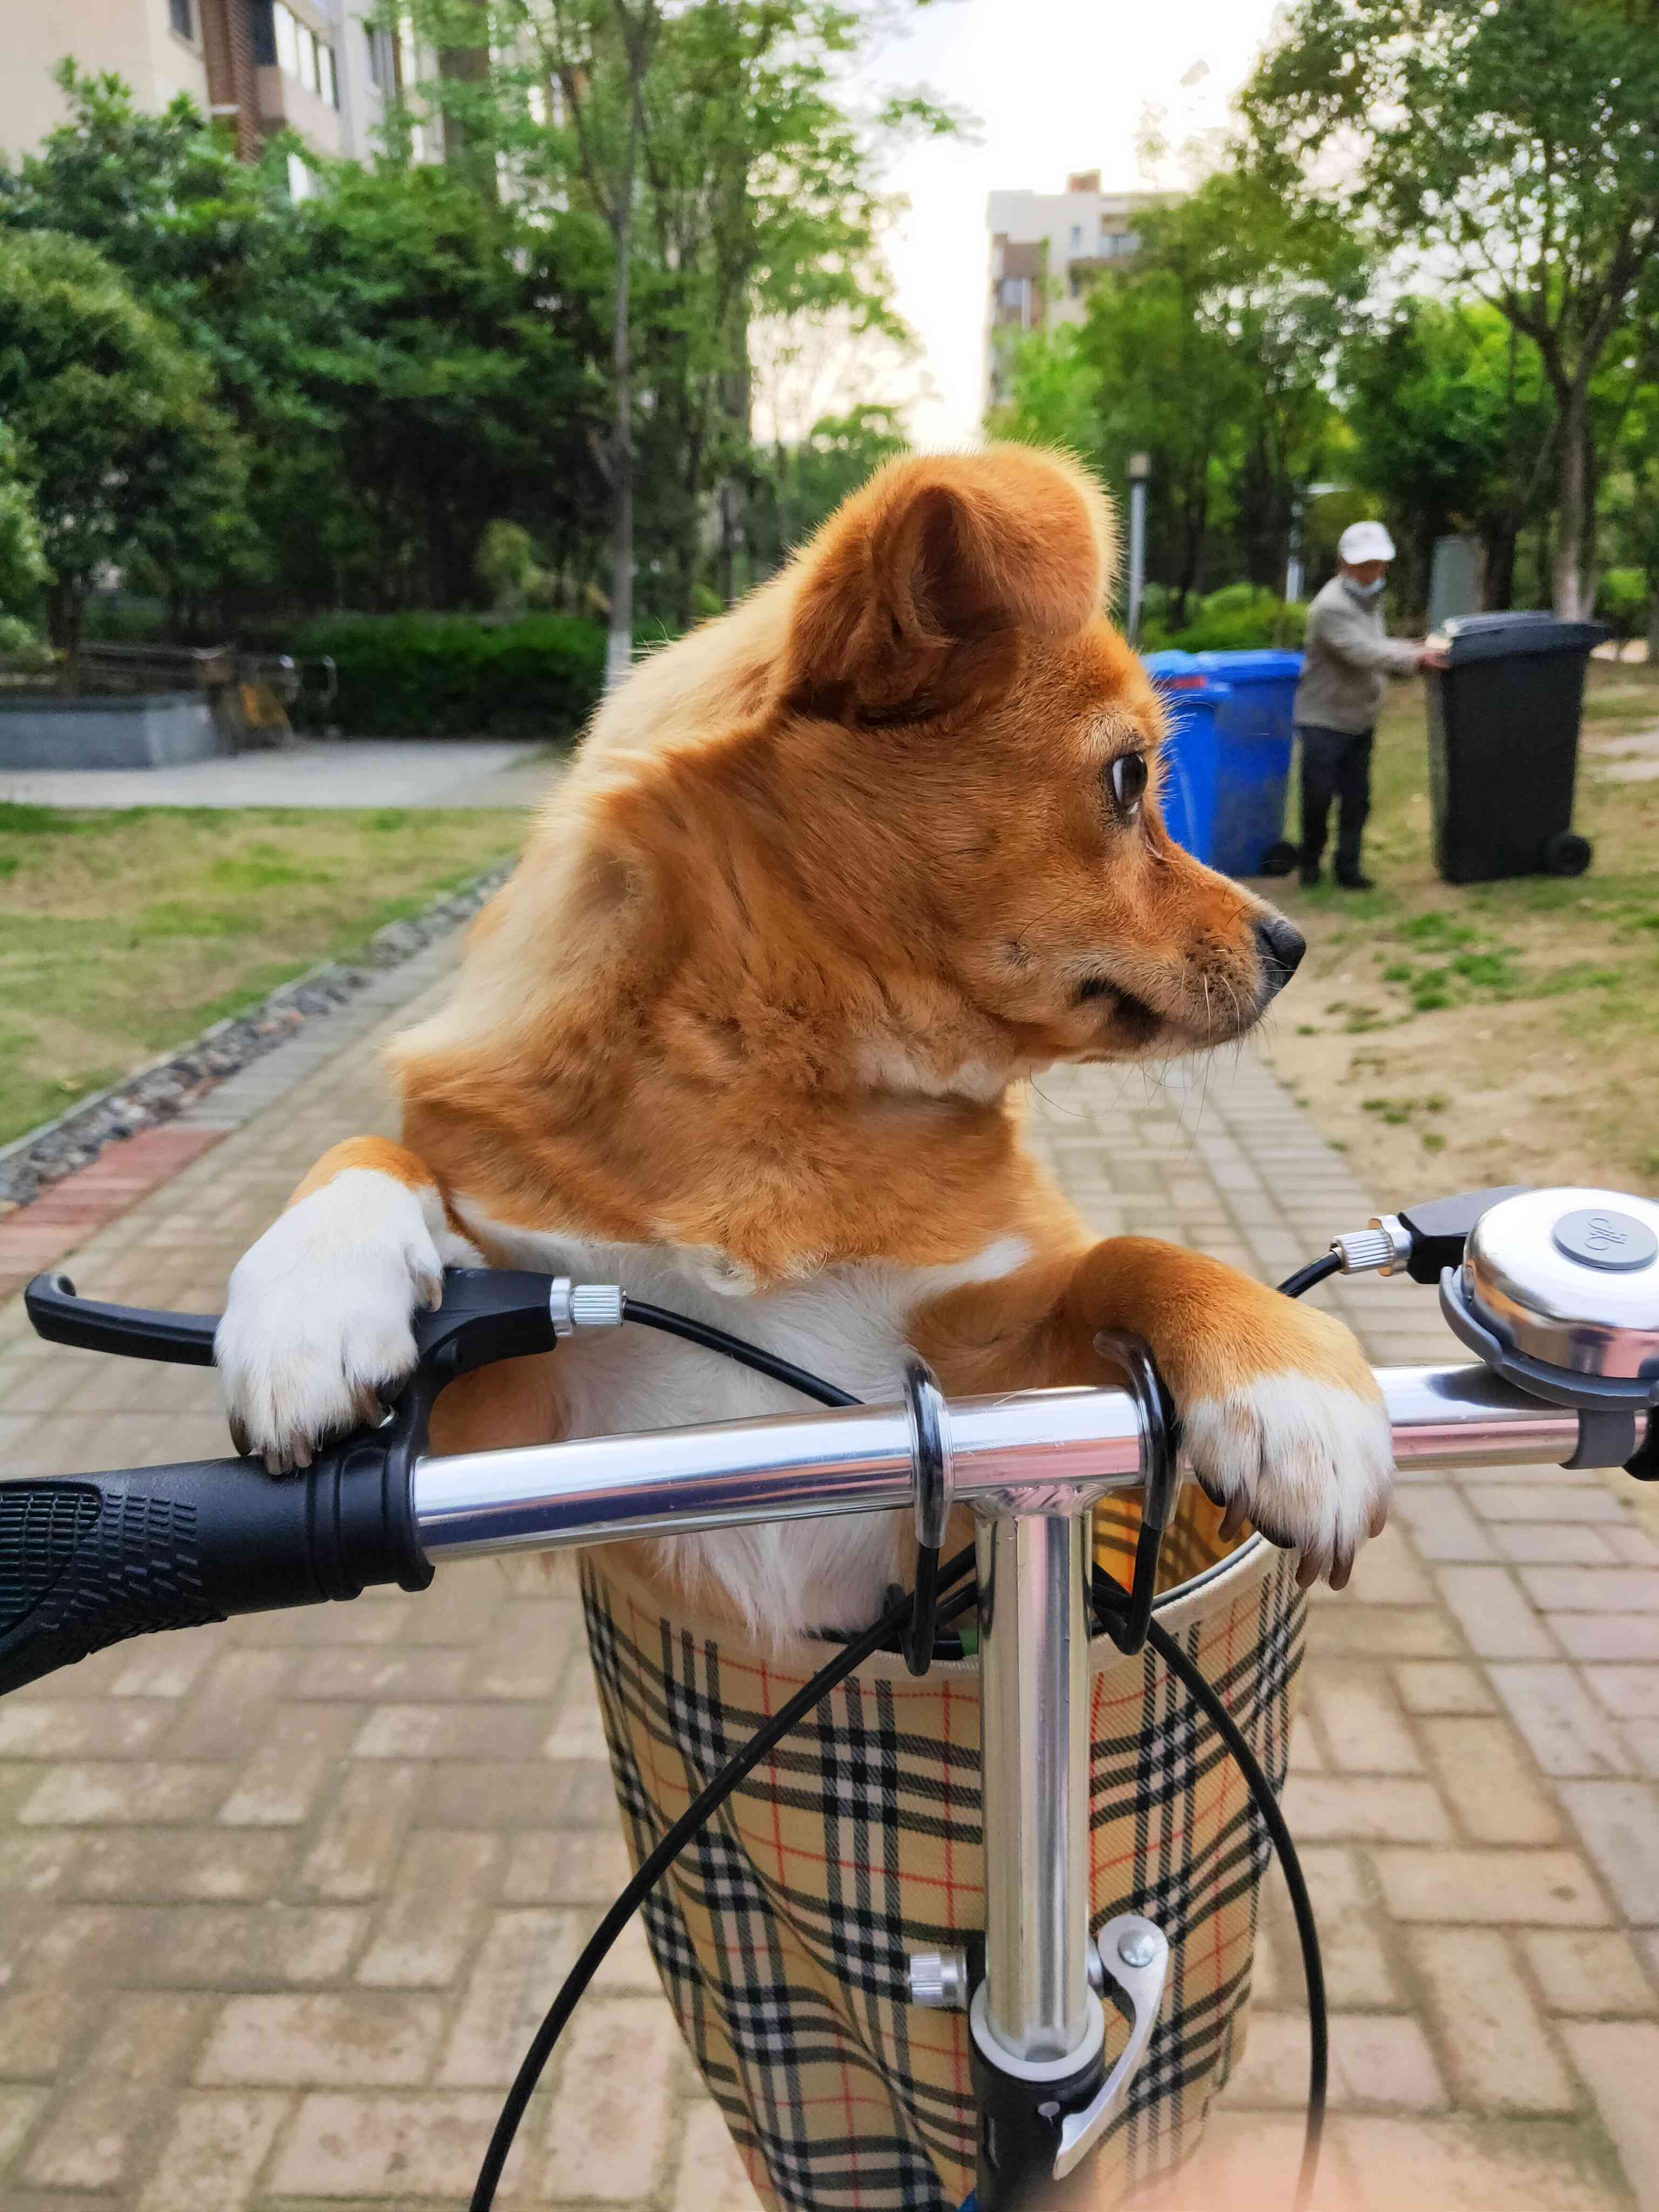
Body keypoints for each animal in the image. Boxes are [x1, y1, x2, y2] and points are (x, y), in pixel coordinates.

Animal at [214, 440, 1398, 1637]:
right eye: (1126, 779)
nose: (1291, 943)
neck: (777, 1083)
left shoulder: (991, 1391)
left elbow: (1126, 1254)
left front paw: (1286, 1375)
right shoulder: (516, 1432)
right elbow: (374, 1149)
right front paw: (310, 1297)